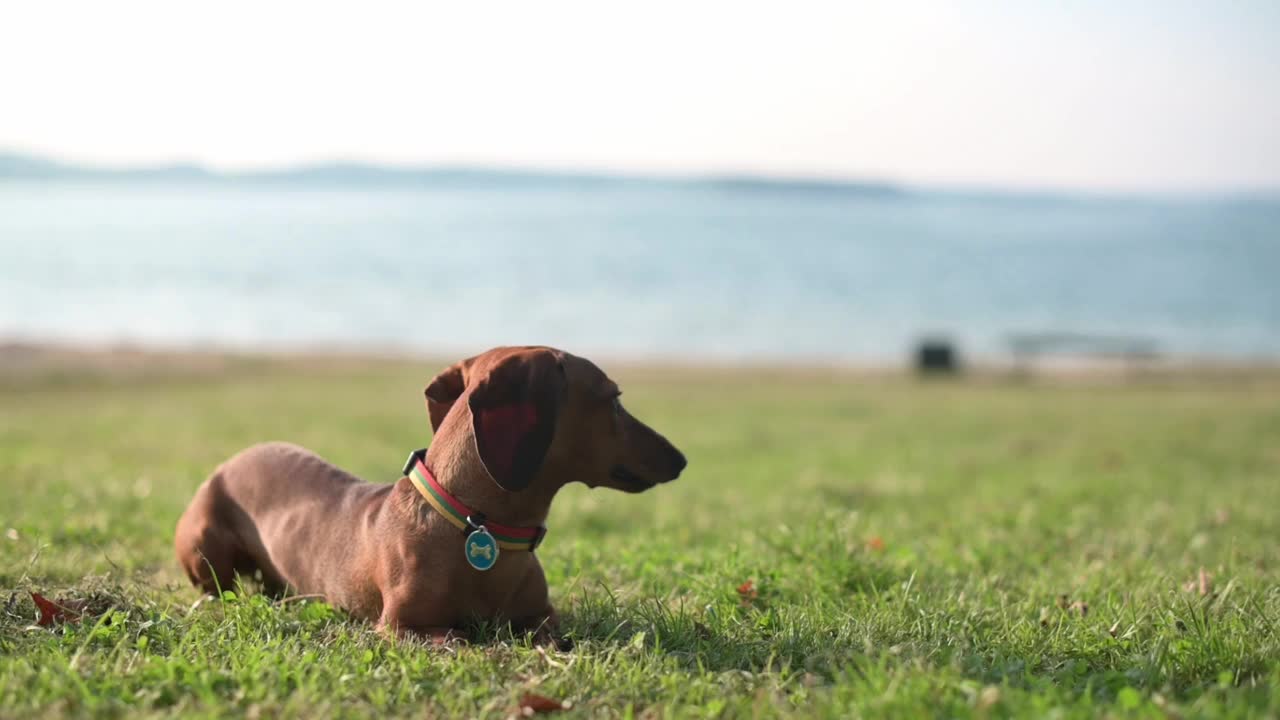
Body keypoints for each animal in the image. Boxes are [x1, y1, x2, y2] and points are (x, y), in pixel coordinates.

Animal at [177, 345, 691, 640]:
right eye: (614, 398)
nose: (682, 458)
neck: (480, 526)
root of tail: (230, 462)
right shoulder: (403, 626)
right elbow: (460, 640)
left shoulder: (543, 617)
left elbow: (551, 634)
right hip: (204, 549)